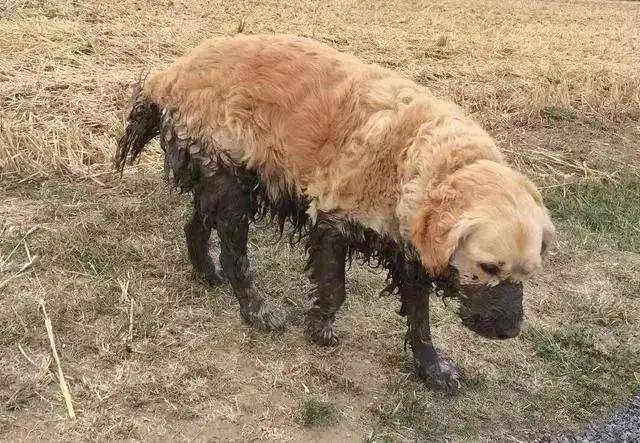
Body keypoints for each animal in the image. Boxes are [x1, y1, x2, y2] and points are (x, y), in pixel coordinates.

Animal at [116, 35, 556, 396]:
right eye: (488, 267)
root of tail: (172, 72)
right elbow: (334, 289)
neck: (420, 158)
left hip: (219, 182)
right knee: (233, 254)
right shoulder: (333, 222)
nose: (509, 331)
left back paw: (207, 273)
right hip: (232, 186)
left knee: (193, 226)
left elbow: (420, 320)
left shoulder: (408, 252)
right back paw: (256, 310)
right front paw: (319, 330)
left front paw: (431, 368)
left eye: (529, 273)